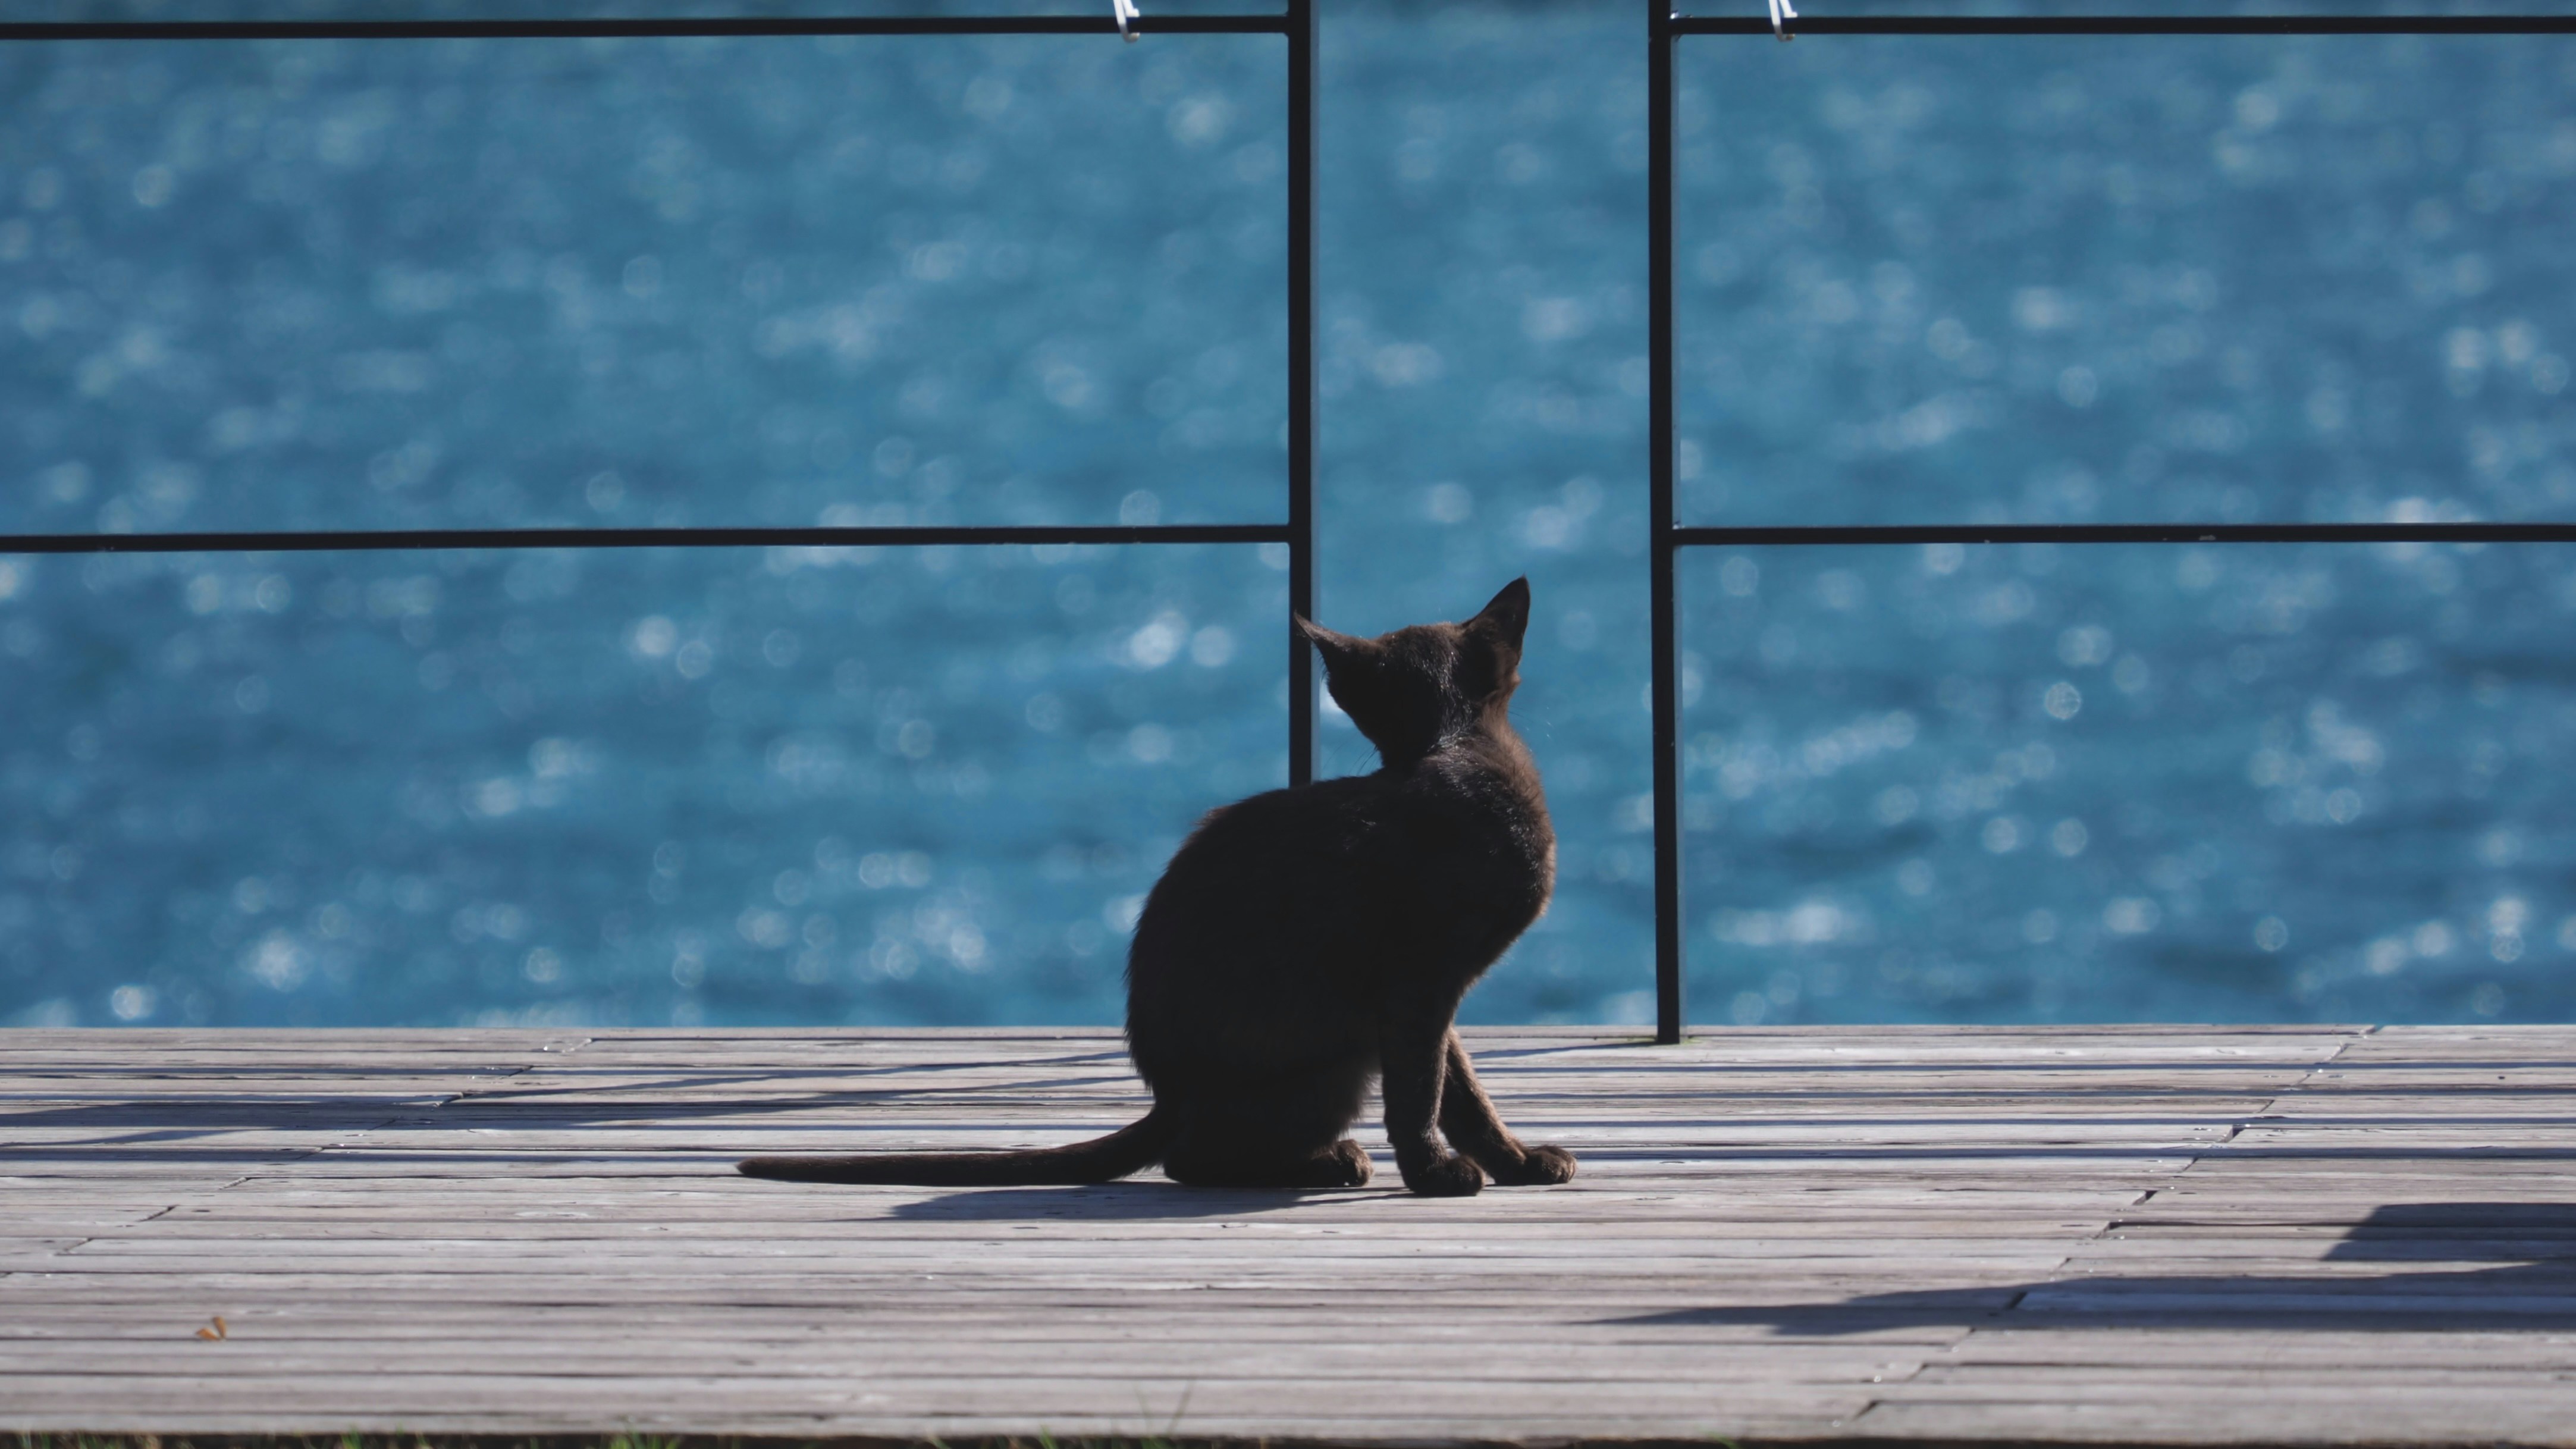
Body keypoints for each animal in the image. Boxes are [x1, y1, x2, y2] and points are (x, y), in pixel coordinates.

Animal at [742, 575, 1566, 1196]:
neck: (1452, 744)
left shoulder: (1435, 997)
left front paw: (1516, 1161)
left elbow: (1464, 1089)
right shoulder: (1418, 983)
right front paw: (1436, 1174)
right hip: (1340, 1051)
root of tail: (1168, 1098)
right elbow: (1421, 1091)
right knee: (1189, 1160)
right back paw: (1329, 1161)